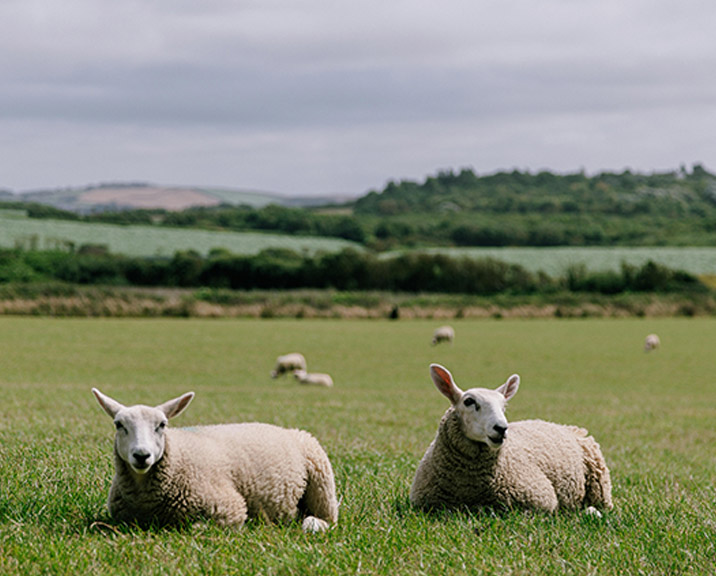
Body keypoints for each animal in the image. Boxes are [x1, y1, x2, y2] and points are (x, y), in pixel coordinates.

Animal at [91, 388, 338, 532]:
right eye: (119, 425)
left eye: (162, 425)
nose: (142, 455)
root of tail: (285, 429)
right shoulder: (123, 518)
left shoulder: (231, 507)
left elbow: (198, 528)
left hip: (322, 482)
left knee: (326, 518)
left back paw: (312, 524)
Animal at [409, 364, 613, 515]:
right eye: (468, 401)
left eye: (504, 406)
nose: (501, 428)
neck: (469, 486)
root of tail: (566, 426)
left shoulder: (540, 498)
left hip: (599, 485)